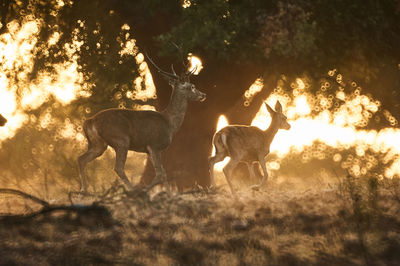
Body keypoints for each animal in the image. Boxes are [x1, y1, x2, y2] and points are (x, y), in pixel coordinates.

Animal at [79, 55, 208, 192]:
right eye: (192, 86)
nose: (203, 94)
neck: (170, 123)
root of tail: (90, 121)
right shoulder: (154, 145)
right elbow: (160, 173)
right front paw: (146, 191)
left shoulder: (149, 150)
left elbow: (163, 172)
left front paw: (168, 193)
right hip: (121, 140)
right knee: (118, 167)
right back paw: (132, 190)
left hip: (98, 144)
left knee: (81, 159)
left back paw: (84, 190)